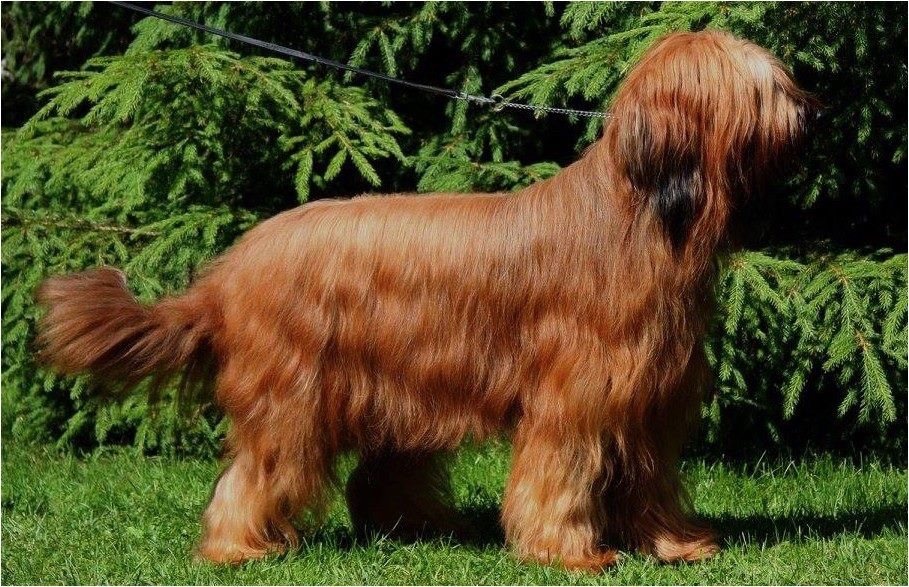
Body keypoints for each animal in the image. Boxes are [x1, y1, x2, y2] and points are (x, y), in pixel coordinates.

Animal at [36, 30, 815, 571]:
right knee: (256, 471)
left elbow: (648, 480)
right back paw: (239, 547)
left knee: (376, 478)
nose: (809, 111)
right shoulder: (575, 394)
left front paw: (676, 544)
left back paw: (422, 528)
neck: (638, 212)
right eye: (762, 88)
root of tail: (226, 274)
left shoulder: (648, 398)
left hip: (393, 393)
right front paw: (571, 552)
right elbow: (558, 471)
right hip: (292, 395)